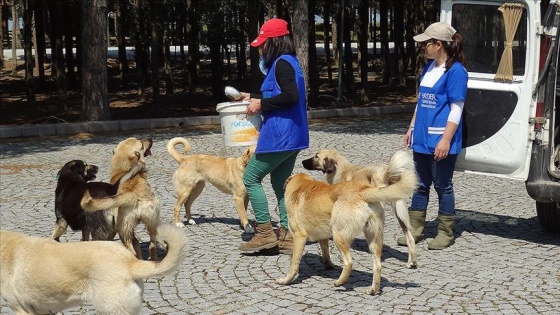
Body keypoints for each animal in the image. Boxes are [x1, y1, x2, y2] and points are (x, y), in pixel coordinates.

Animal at [278, 152, 418, 298]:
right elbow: (325, 252)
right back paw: (373, 289)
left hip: (339, 235)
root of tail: (363, 190)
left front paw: (286, 280)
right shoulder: (323, 236)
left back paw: (339, 282)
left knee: (349, 262)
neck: (301, 186)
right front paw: (328, 265)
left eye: (316, 156)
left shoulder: (299, 236)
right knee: (378, 265)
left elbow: (294, 263)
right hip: (374, 239)